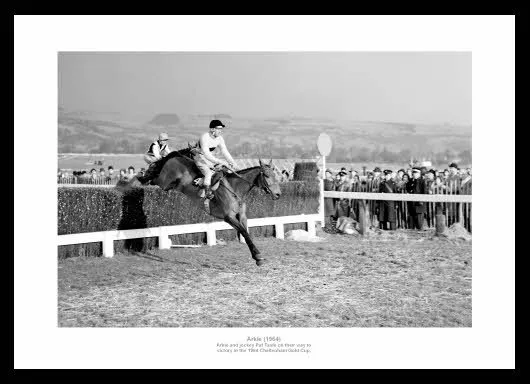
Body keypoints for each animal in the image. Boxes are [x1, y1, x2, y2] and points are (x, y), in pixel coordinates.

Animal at [122, 148, 282, 266]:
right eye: (267, 176)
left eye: (276, 175)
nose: (278, 194)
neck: (234, 189)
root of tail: (177, 156)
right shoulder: (228, 217)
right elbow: (244, 232)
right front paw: (258, 256)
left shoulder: (241, 216)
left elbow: (246, 232)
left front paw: (256, 255)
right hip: (164, 181)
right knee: (151, 177)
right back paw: (135, 179)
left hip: (170, 185)